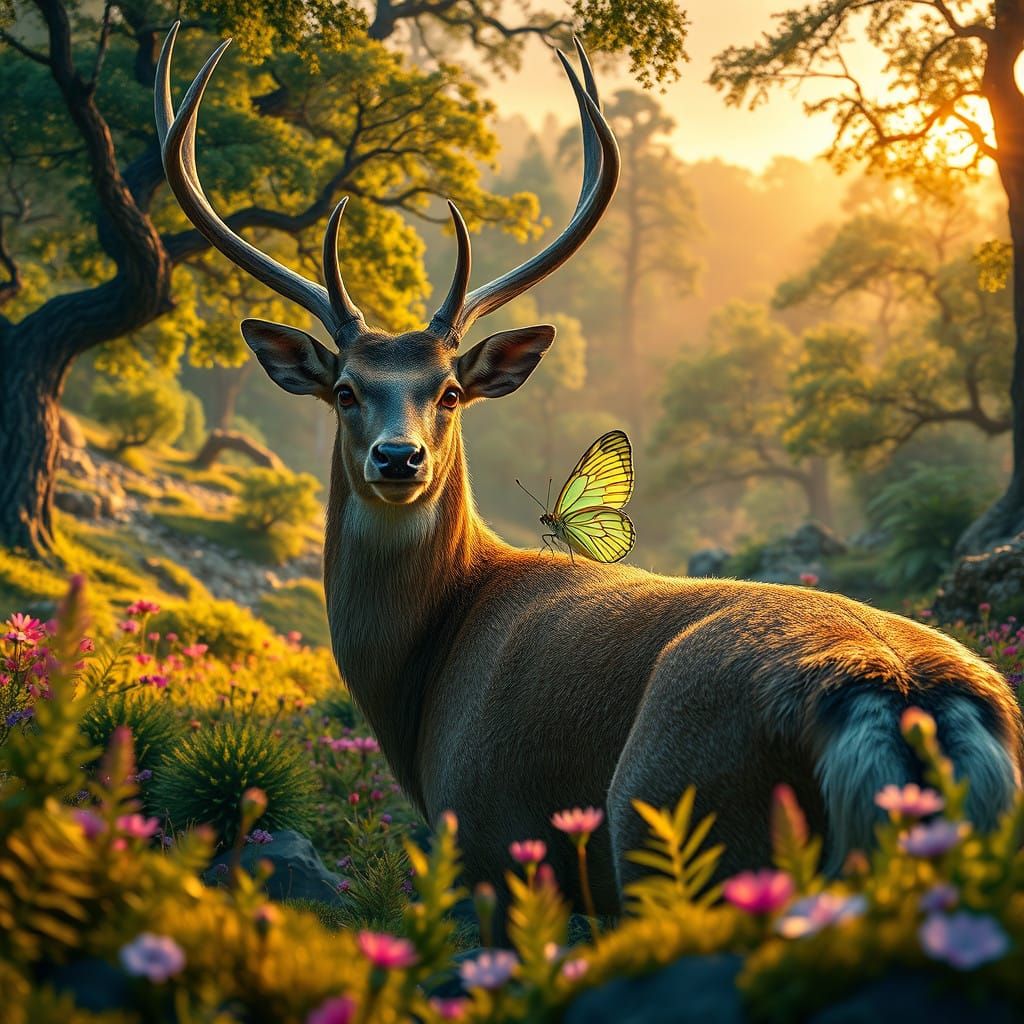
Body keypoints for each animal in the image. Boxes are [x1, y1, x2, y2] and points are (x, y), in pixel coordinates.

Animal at [156, 25, 1023, 915]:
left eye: (451, 391)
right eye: (344, 390)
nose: (399, 456)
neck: (427, 673)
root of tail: (898, 694)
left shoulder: (491, 829)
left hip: (684, 818)